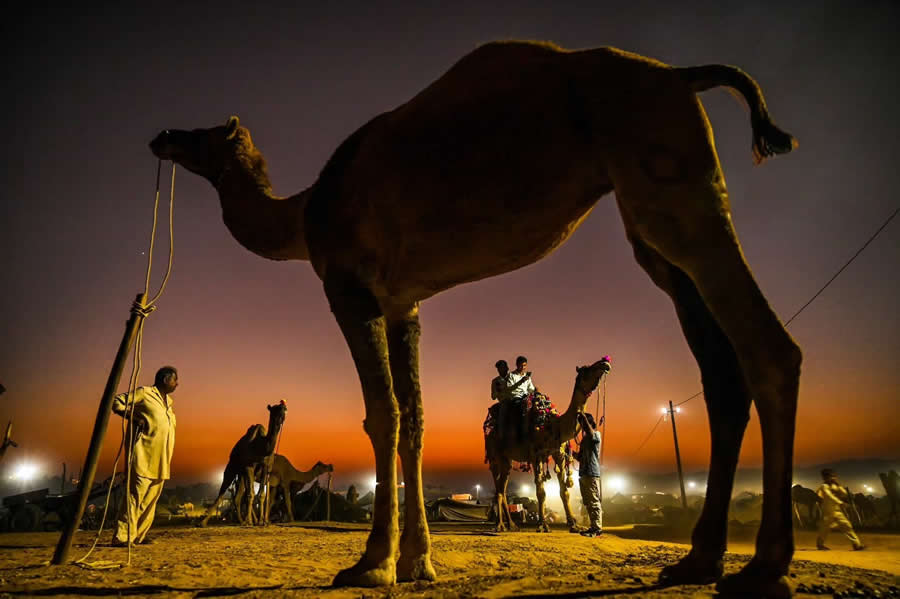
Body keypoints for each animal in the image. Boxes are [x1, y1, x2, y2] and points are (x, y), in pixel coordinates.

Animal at [486, 358, 612, 532]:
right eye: (587, 369)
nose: (605, 363)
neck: (553, 425)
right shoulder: (536, 455)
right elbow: (541, 492)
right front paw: (543, 525)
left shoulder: (558, 454)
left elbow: (564, 491)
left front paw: (573, 524)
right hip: (495, 455)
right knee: (498, 489)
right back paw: (499, 525)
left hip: (507, 460)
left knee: (502, 488)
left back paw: (512, 525)